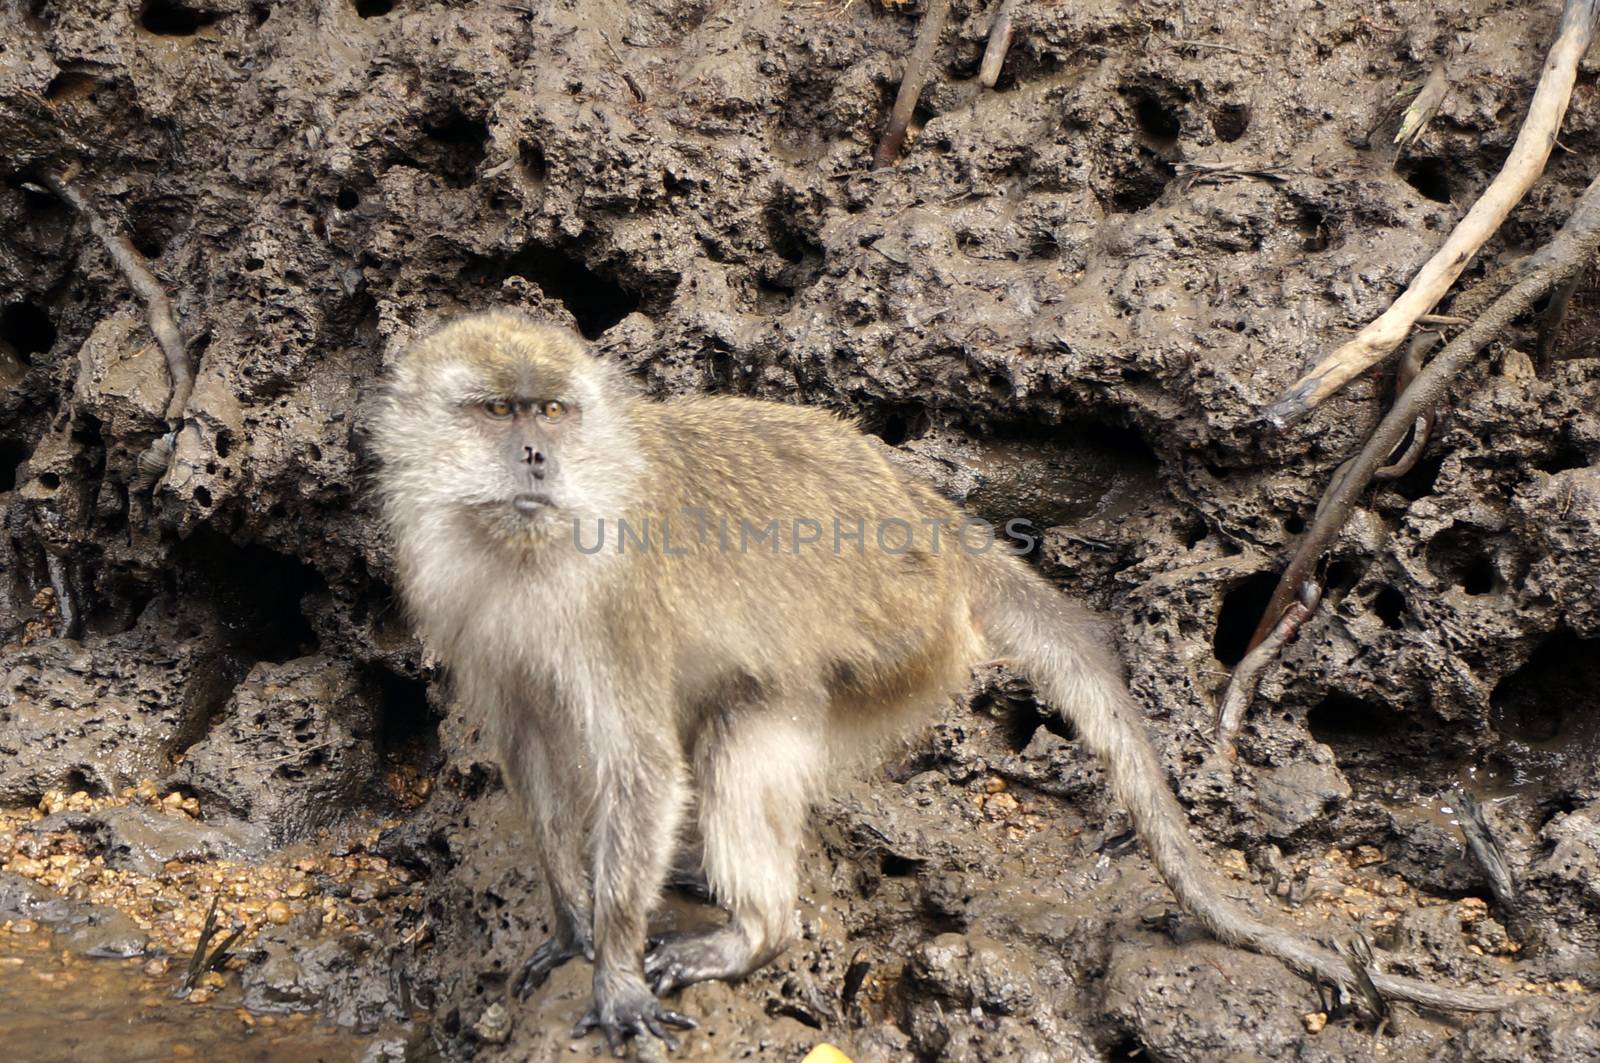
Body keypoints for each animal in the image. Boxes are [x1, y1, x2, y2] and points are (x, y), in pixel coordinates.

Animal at [371, 312, 1497, 1050]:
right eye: (498, 409)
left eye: (552, 409)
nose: (533, 455)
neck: (524, 547)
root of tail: (943, 530)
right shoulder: (456, 591)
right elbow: (528, 748)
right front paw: (571, 924)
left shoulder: (612, 605)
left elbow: (640, 766)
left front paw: (611, 968)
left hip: (897, 649)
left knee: (740, 730)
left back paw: (756, 934)